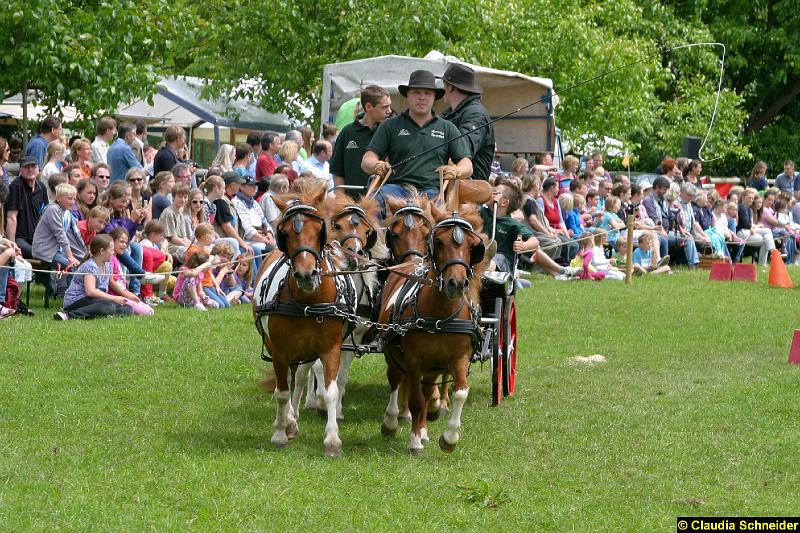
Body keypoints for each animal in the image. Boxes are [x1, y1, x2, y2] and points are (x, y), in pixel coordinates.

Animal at [250, 180, 350, 458]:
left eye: (319, 229)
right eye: (285, 233)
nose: (306, 275)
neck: (308, 301)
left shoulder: (330, 348)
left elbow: (330, 391)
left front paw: (332, 440)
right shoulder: (280, 350)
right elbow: (282, 392)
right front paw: (280, 432)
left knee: (302, 376)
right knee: (290, 382)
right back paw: (288, 421)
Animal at [376, 203, 484, 454]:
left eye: (471, 246)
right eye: (440, 242)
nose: (456, 283)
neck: (441, 315)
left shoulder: (459, 357)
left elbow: (460, 392)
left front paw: (449, 438)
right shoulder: (414, 360)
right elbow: (415, 400)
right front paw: (414, 441)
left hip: (433, 366)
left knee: (427, 391)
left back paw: (424, 427)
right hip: (394, 353)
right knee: (396, 379)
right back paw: (392, 421)